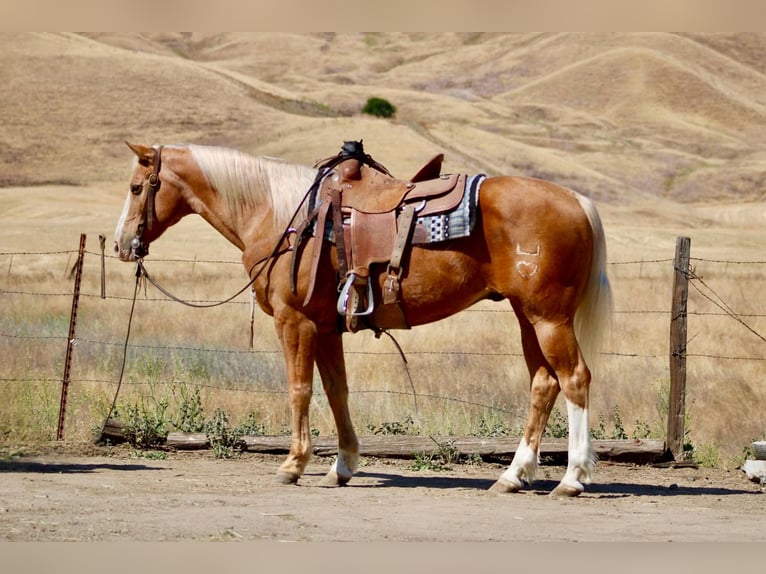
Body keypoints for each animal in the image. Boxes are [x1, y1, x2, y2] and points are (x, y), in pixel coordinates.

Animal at [114, 142, 612, 497]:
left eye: (137, 188)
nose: (122, 244)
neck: (280, 216)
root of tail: (576, 200)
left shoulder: (295, 322)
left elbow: (299, 389)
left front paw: (293, 464)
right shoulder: (325, 327)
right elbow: (338, 391)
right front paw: (342, 466)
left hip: (548, 318)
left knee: (575, 379)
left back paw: (572, 478)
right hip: (528, 317)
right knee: (543, 384)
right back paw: (513, 475)